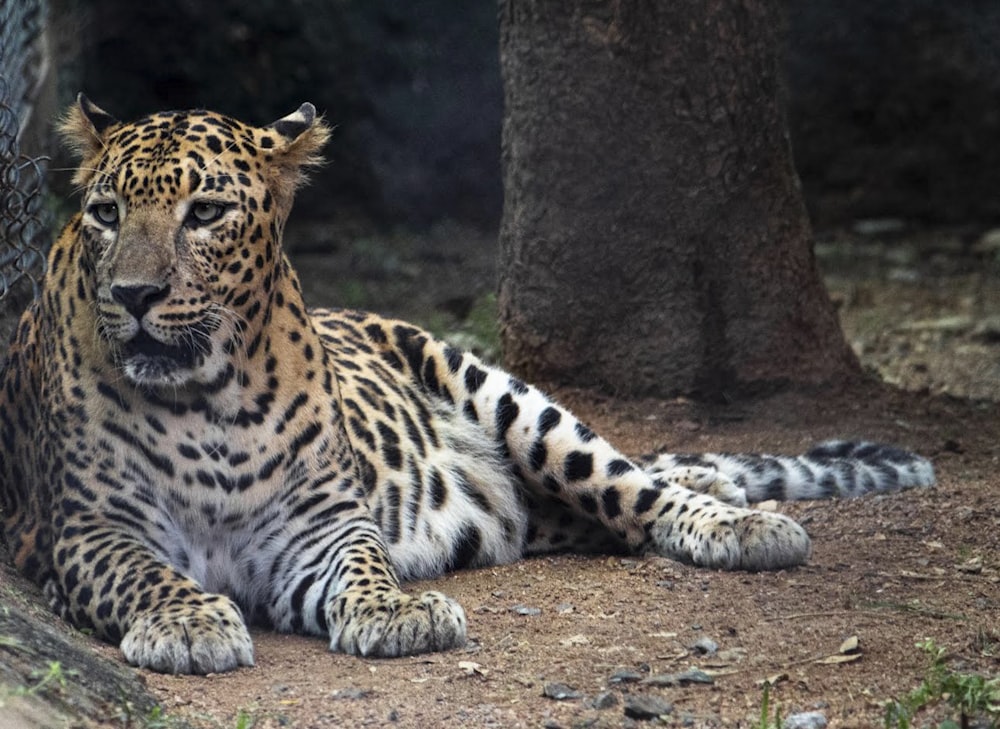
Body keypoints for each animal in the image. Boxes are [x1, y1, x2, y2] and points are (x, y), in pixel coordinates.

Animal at [0, 95, 936, 672]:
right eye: (107, 213)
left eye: (205, 213)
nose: (134, 294)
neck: (209, 398)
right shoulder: (84, 530)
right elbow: (146, 571)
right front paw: (190, 620)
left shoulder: (317, 523)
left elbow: (363, 560)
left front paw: (397, 611)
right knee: (621, 510)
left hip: (506, 396)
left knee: (636, 485)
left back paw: (742, 523)